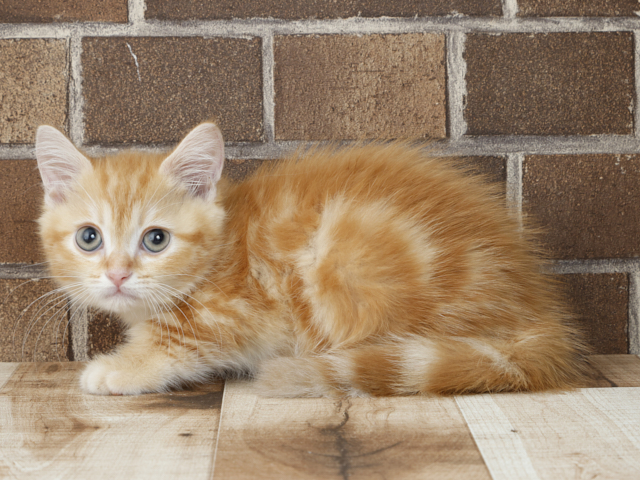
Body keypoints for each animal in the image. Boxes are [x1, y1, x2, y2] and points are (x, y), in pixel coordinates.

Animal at [33, 124, 584, 398]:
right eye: (89, 238)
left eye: (156, 240)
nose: (117, 274)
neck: (224, 248)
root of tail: (538, 311)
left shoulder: (233, 316)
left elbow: (179, 344)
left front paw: (120, 367)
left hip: (347, 265)